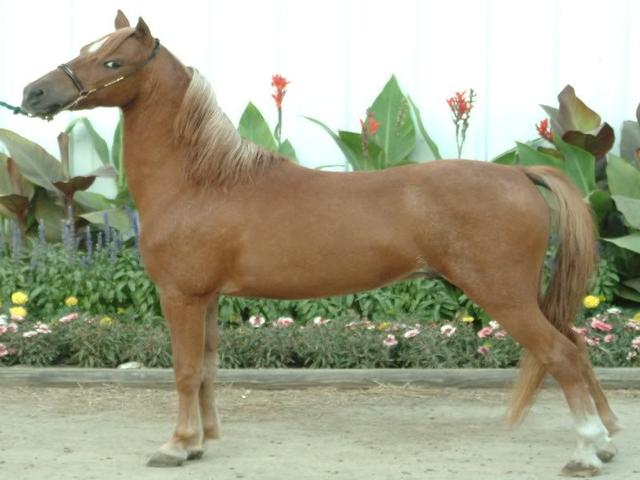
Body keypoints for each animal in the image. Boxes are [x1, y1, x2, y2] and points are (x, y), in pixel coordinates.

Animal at [20, 10, 619, 477]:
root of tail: (520, 174)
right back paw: (607, 440)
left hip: (504, 295)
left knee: (562, 355)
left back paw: (586, 452)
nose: (34, 92)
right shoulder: (207, 298)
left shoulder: (181, 296)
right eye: (84, 50)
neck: (202, 181)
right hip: (529, 294)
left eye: (112, 63)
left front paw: (175, 447)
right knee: (578, 346)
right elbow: (207, 370)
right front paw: (199, 443)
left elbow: (185, 370)